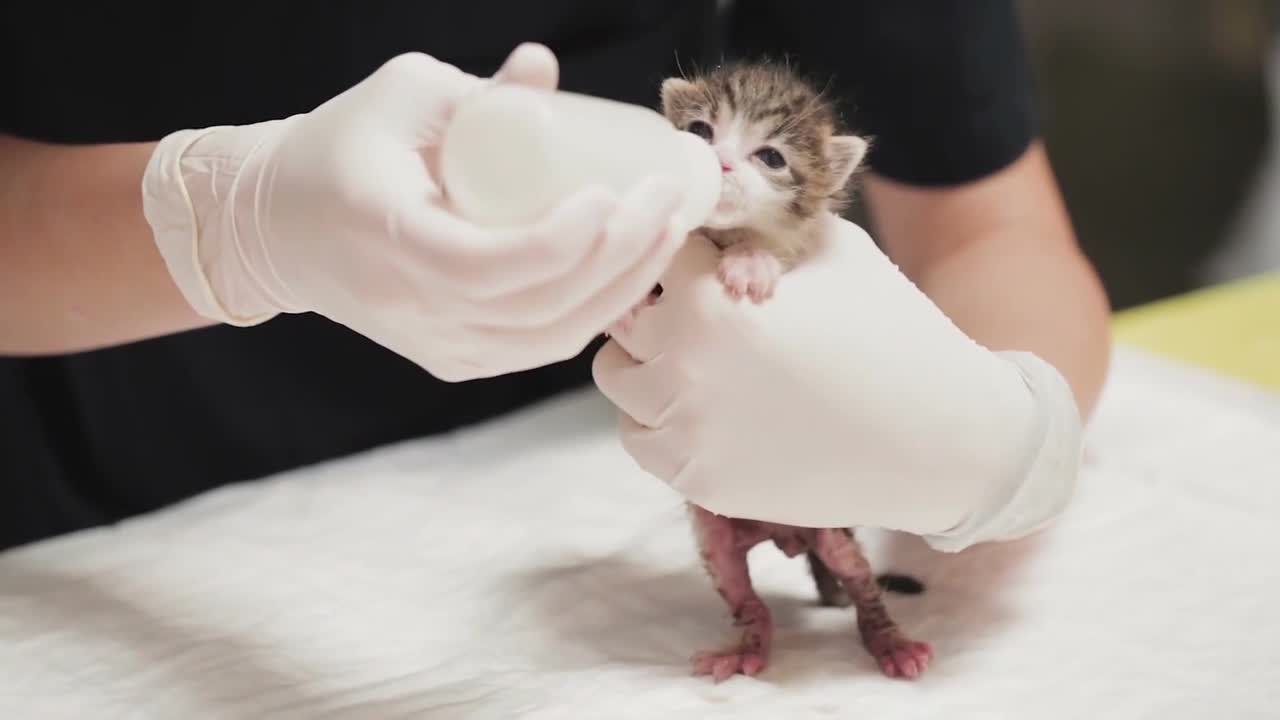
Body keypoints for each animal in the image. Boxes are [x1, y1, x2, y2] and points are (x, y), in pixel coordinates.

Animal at [660, 60, 931, 676]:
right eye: (700, 130)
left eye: (771, 156)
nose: (719, 162)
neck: (721, 234)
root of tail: (783, 533)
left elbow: (773, 252)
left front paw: (751, 264)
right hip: (718, 535)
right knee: (746, 597)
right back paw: (748, 648)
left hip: (834, 532)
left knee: (861, 585)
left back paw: (890, 642)